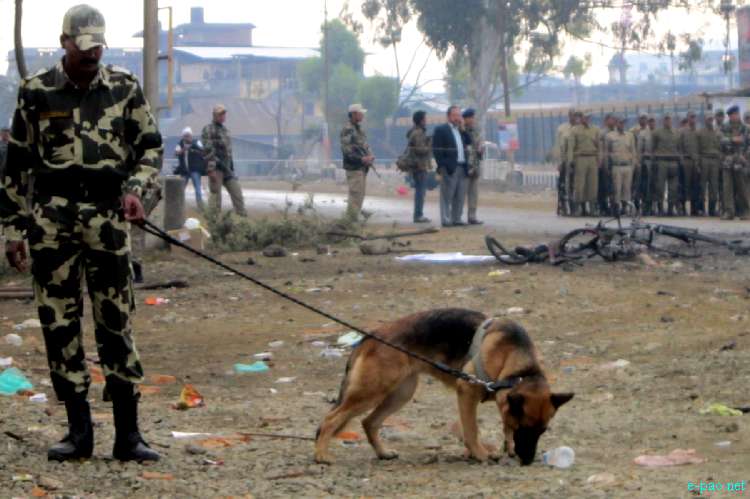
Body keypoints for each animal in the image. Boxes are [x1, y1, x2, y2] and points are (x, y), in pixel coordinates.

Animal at [314, 308, 573, 465]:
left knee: (369, 422)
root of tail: (371, 335)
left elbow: (500, 426)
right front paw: (480, 454)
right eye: (526, 428)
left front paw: (503, 447)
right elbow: (472, 430)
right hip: (371, 392)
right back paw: (321, 455)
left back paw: (383, 452)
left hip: (400, 394)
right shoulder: (466, 392)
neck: (515, 358)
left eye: (542, 431)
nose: (528, 461)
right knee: (330, 419)